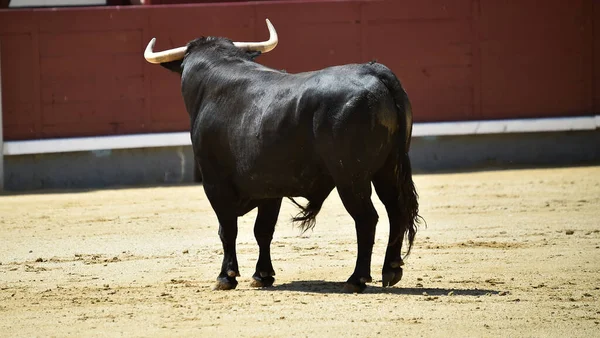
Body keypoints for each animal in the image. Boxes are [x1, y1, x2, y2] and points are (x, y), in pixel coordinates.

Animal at [159, 35, 422, 292]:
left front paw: (226, 277)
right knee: (395, 210)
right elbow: (263, 230)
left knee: (366, 219)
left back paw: (356, 278)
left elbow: (228, 230)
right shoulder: (269, 188)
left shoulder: (215, 184)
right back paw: (391, 269)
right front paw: (262, 275)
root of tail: (374, 71)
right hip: (388, 169)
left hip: (350, 178)